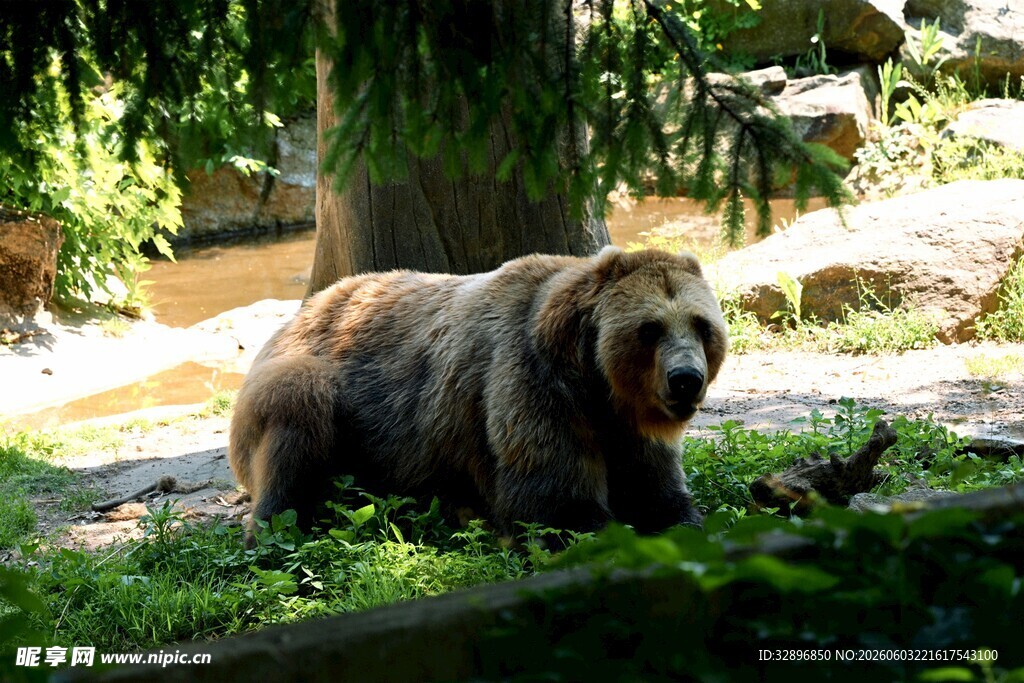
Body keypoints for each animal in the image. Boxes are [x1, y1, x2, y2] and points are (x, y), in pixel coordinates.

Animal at [228, 246, 728, 543]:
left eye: (702, 326)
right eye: (650, 329)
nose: (685, 378)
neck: (593, 382)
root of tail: (301, 312)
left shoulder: (629, 426)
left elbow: (657, 491)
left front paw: (687, 521)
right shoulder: (527, 385)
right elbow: (555, 505)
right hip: (314, 385)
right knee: (297, 409)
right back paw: (276, 528)